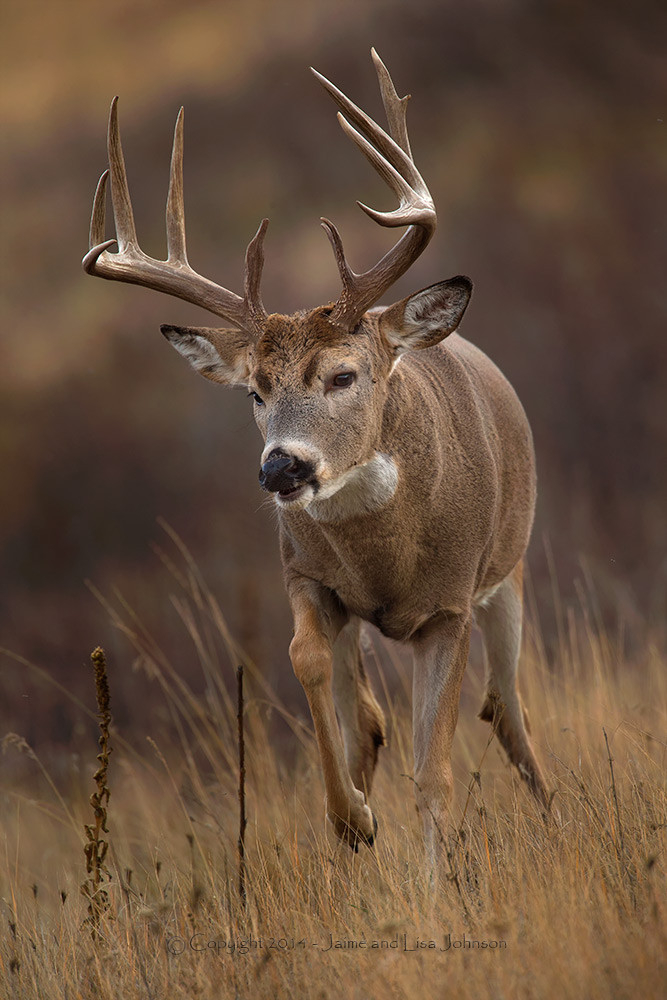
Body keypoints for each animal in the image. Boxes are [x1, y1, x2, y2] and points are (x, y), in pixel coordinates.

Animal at [83, 48, 552, 860]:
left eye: (343, 375)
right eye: (253, 391)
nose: (282, 468)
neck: (390, 558)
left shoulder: (452, 604)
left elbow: (435, 772)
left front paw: (429, 878)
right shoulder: (305, 574)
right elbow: (312, 670)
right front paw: (353, 818)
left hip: (509, 571)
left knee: (507, 709)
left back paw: (555, 813)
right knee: (371, 717)